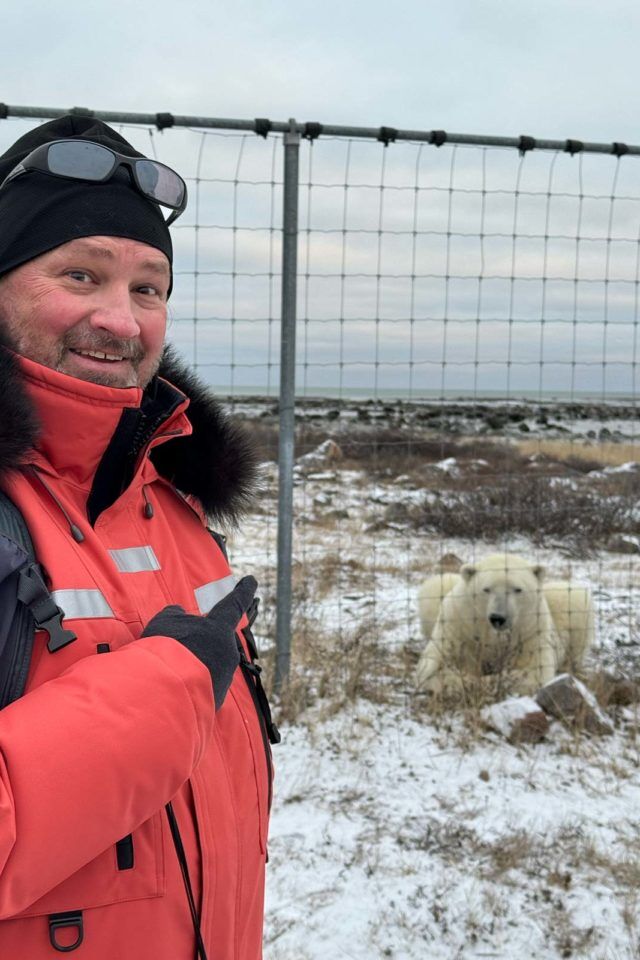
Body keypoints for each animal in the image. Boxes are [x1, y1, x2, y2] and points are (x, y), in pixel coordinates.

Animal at [418, 556, 592, 696]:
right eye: (486, 589)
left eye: (518, 589)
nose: (498, 618)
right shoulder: (457, 624)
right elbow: (434, 665)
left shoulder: (530, 631)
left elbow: (534, 671)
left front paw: (486, 681)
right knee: (438, 583)